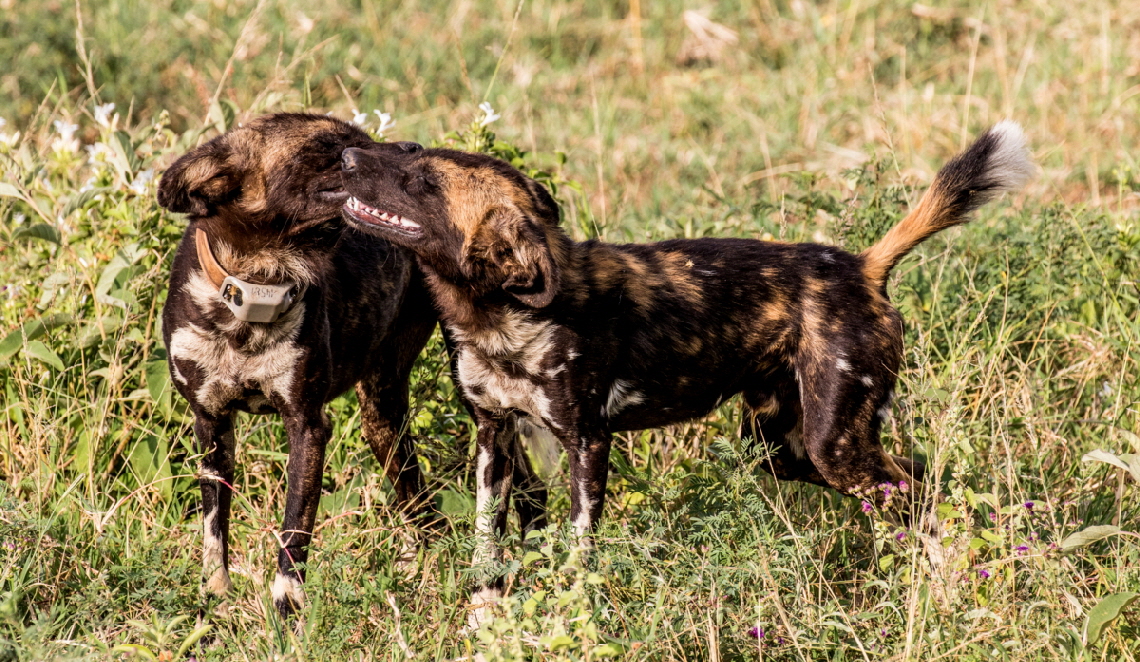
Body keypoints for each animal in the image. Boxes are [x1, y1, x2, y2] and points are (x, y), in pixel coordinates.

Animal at [335, 121, 1035, 615]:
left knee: (925, 500)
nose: (347, 159)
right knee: (919, 478)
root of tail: (862, 266)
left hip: (833, 446)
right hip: (785, 449)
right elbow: (489, 539)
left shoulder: (587, 441)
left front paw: (569, 609)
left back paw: (949, 588)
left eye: (424, 185)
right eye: (410, 150)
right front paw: (485, 616)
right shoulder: (494, 437)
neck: (500, 316)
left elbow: (579, 548)